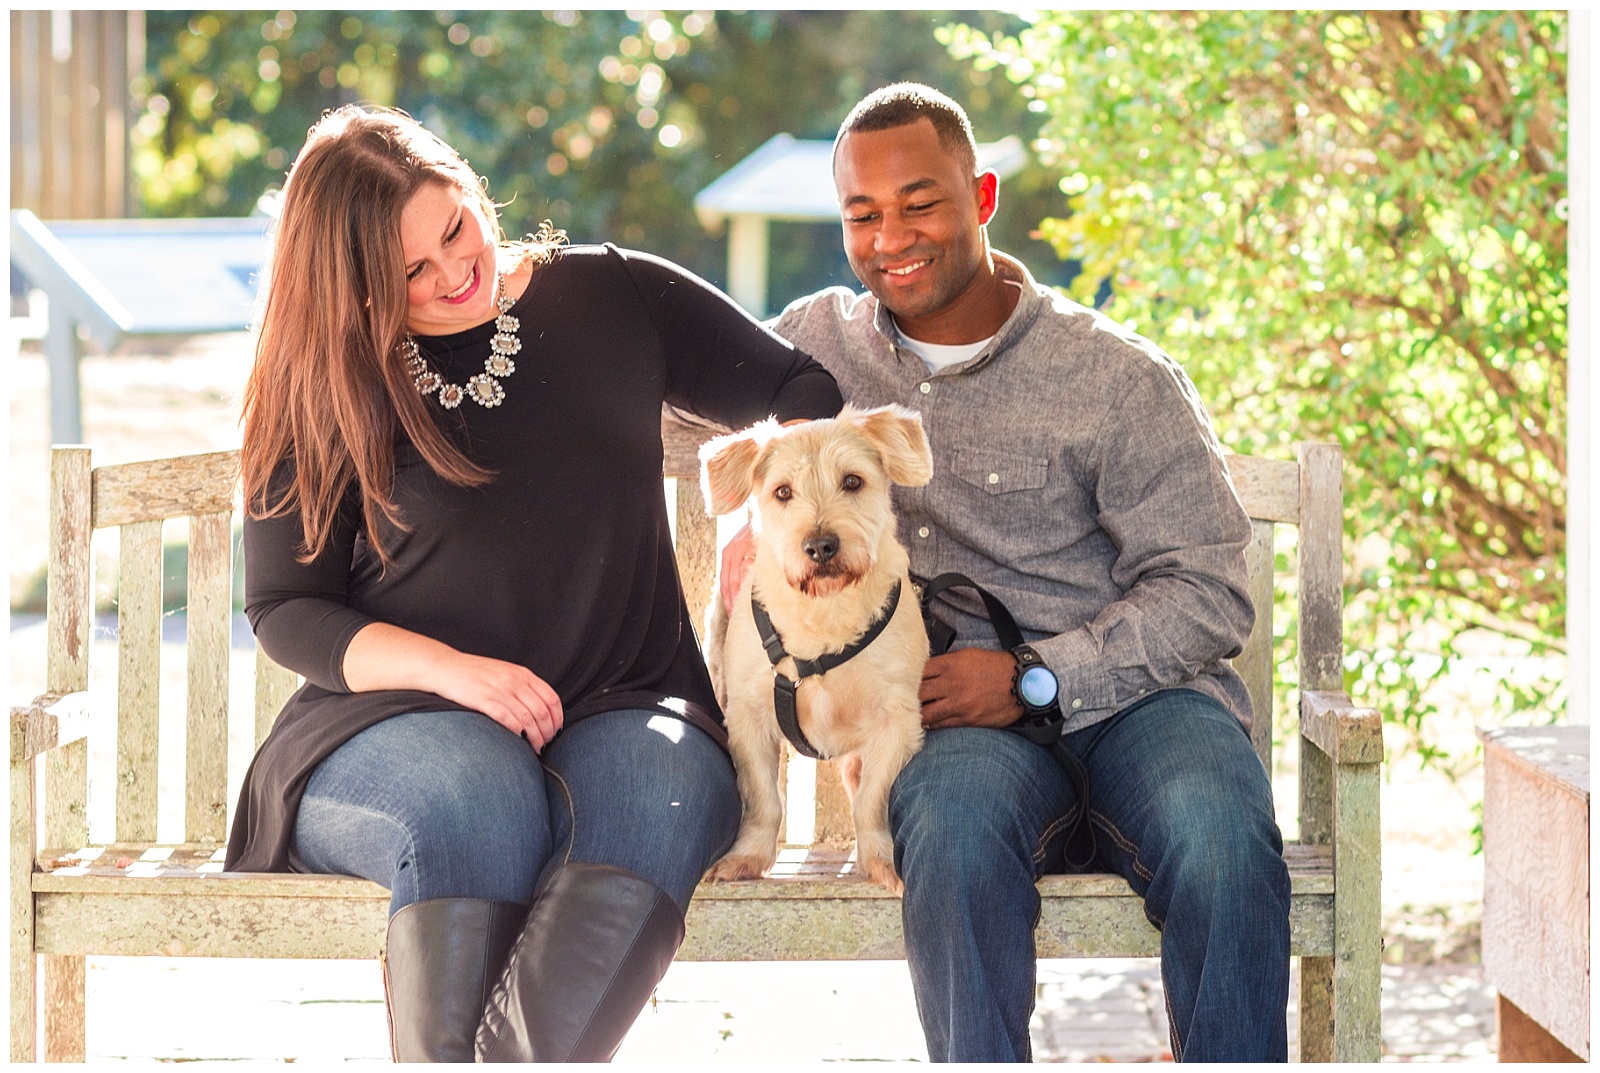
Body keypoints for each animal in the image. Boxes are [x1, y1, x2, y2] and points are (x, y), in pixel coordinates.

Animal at [700, 402, 934, 889]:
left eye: (853, 481)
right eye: (782, 492)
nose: (821, 546)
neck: (825, 613)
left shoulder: (896, 721)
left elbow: (871, 800)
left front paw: (881, 859)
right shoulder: (749, 718)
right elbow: (763, 798)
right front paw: (746, 858)